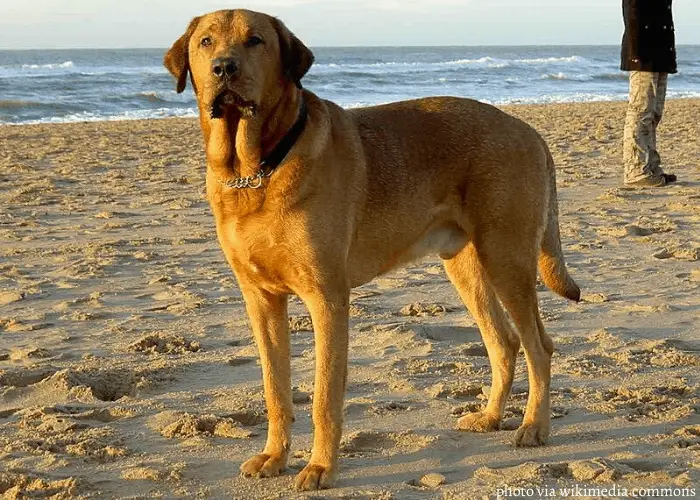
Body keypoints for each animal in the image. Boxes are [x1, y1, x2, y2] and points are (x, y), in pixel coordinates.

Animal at [164, 9, 580, 490]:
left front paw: (320, 467)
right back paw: (491, 416)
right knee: (504, 343)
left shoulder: (327, 298)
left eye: (255, 41)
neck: (257, 169)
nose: (224, 69)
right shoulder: (261, 300)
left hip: (506, 258)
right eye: (206, 41)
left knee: (538, 346)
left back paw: (534, 426)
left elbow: (325, 396)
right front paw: (273, 456)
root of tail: (530, 132)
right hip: (466, 266)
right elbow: (274, 388)